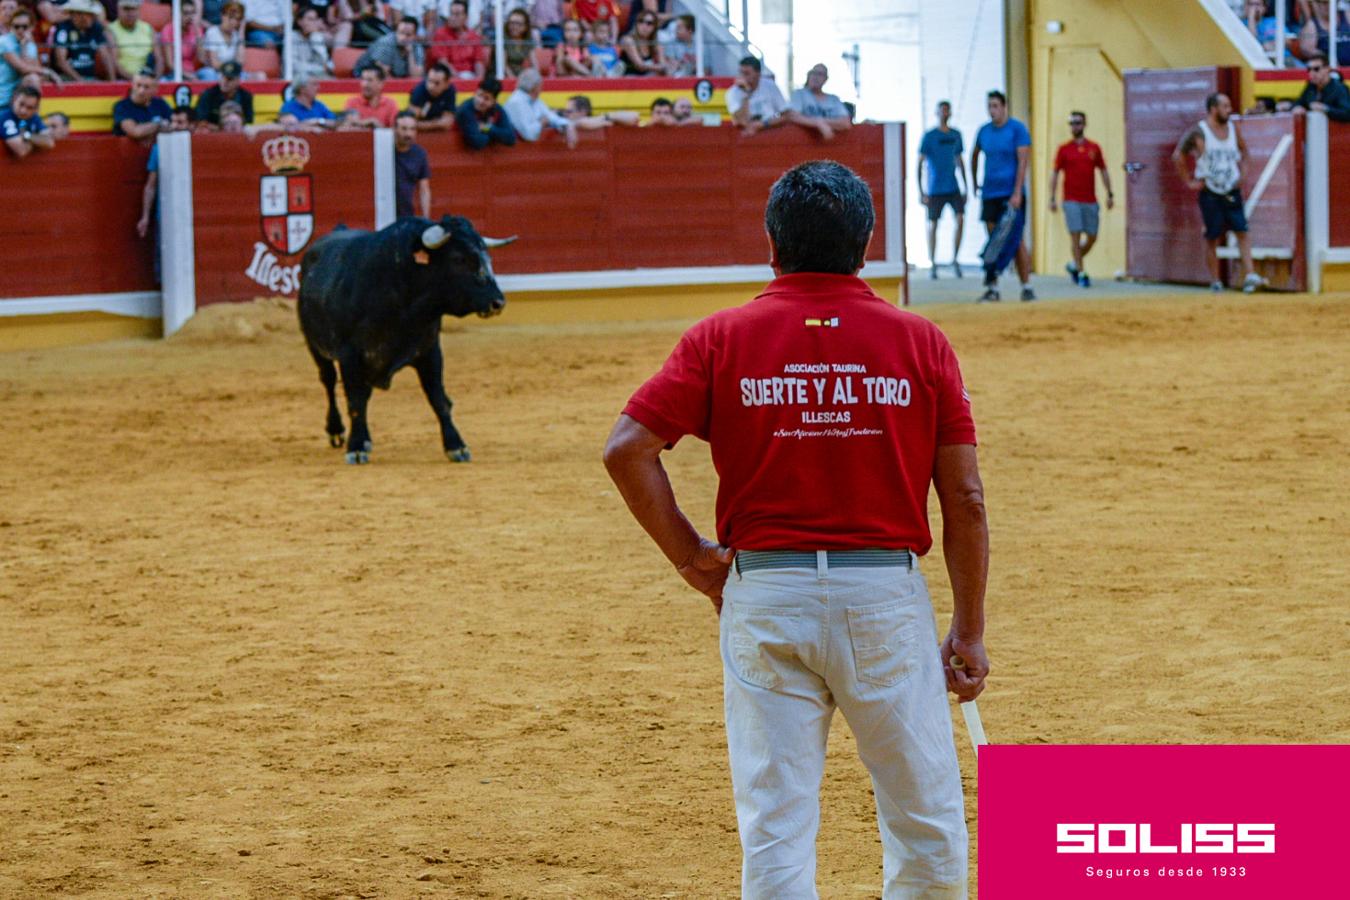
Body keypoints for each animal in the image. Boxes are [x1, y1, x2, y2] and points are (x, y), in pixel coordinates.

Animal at [298, 215, 513, 464]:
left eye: (487, 257)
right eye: (459, 258)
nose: (498, 303)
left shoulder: (429, 351)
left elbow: (438, 399)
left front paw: (456, 446)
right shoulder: (348, 355)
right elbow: (355, 401)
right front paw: (356, 447)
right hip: (315, 346)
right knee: (329, 381)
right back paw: (336, 431)